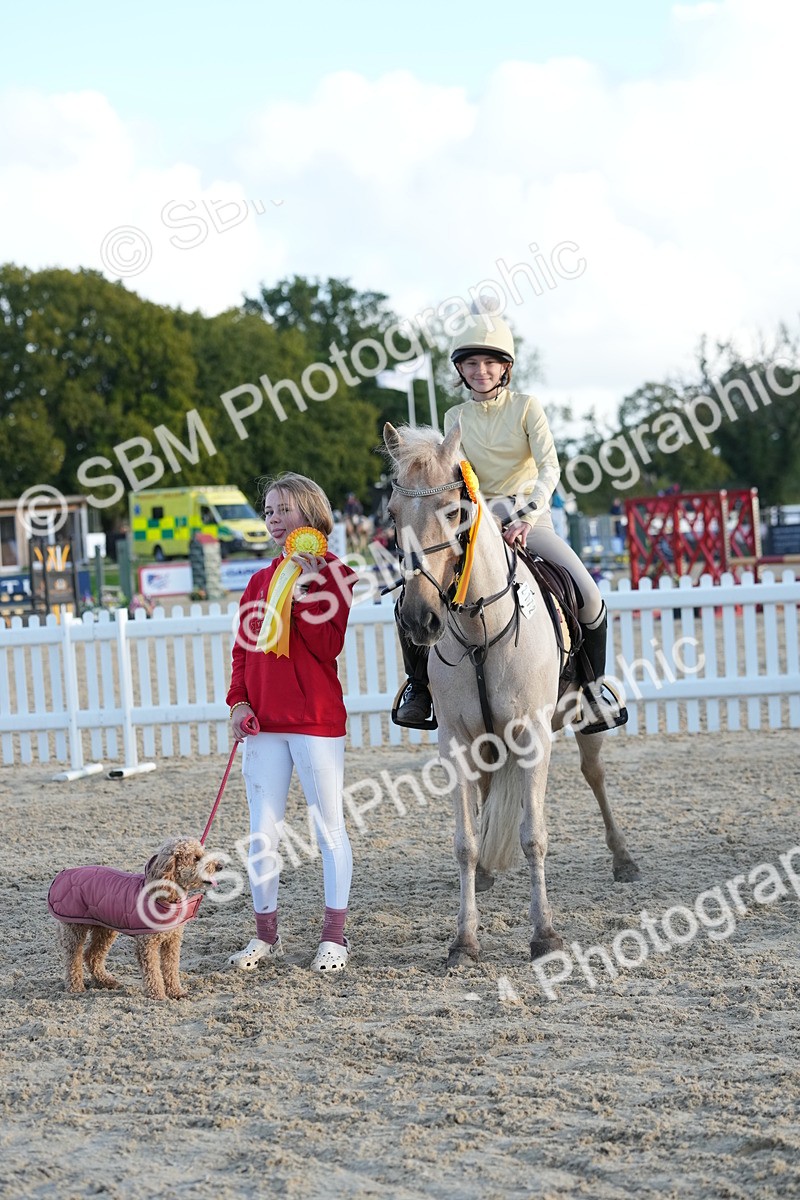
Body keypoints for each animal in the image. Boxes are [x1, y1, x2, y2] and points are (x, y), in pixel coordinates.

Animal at [384, 420, 640, 968]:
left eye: (455, 512)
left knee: (595, 776)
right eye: (392, 514)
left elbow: (533, 836)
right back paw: (485, 874)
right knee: (485, 797)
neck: (480, 627)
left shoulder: (533, 737)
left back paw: (624, 859)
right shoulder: (457, 742)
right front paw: (464, 939)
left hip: (583, 724)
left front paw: (545, 934)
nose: (419, 619)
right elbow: (464, 841)